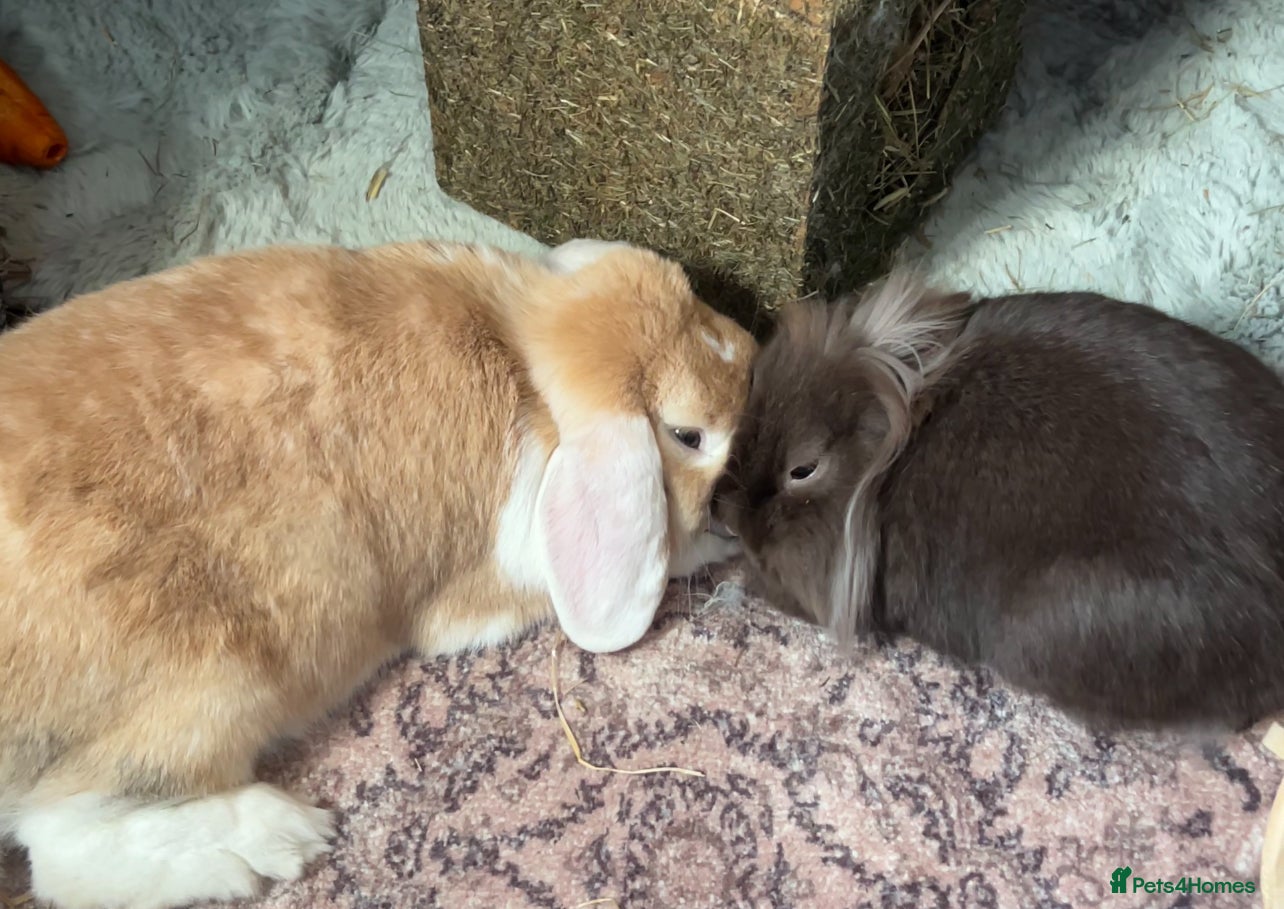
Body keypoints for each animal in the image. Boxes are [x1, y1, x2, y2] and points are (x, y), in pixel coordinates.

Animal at [0, 237, 754, 909]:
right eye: (687, 433)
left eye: (696, 296)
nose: (755, 353)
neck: (525, 356)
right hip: (211, 687)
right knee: (64, 849)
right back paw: (274, 839)